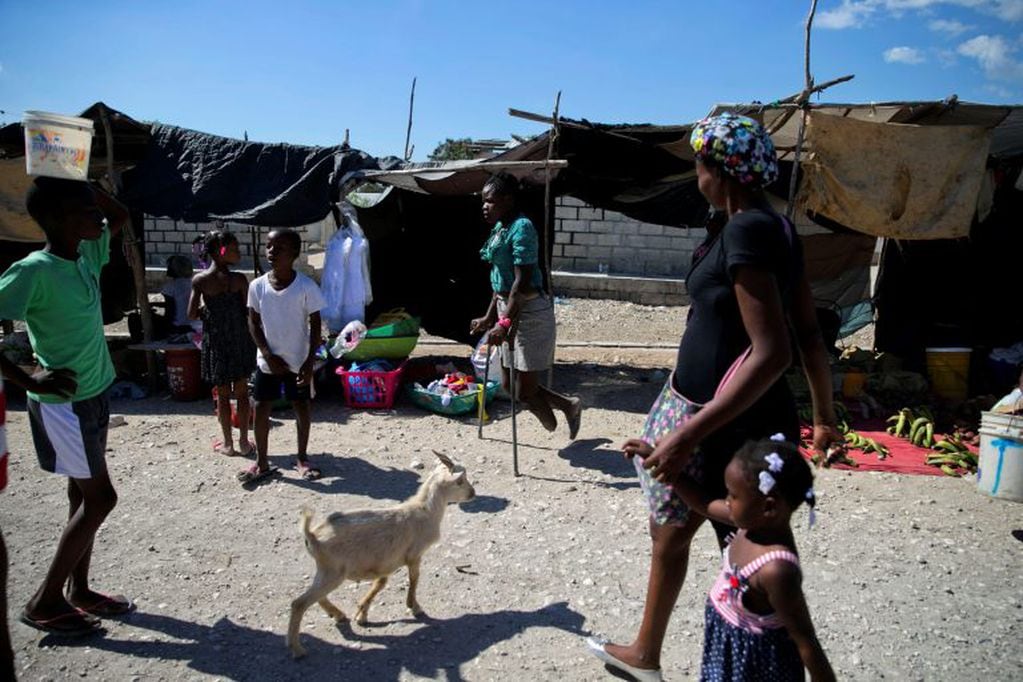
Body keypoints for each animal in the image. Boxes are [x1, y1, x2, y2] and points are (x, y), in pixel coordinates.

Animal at [288, 449, 474, 658]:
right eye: (460, 480)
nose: (473, 493)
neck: (425, 510)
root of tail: (312, 536)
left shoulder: (386, 562)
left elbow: (381, 583)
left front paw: (362, 614)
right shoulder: (414, 555)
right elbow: (414, 579)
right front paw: (414, 607)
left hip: (327, 572)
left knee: (317, 596)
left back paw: (338, 615)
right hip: (333, 572)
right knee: (299, 603)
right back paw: (297, 649)